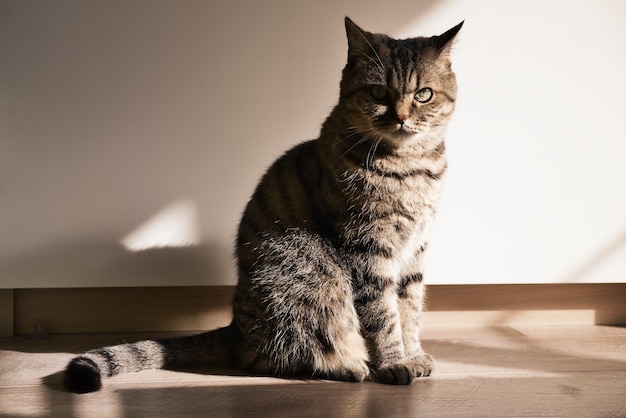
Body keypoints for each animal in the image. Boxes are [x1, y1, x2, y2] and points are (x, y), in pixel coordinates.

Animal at [66, 17, 460, 396]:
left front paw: (413, 355)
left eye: (424, 94)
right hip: (312, 284)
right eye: (378, 92)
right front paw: (394, 363)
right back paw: (345, 366)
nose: (402, 117)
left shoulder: (415, 251)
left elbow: (410, 308)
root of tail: (234, 329)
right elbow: (384, 316)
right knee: (273, 357)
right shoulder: (368, 249)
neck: (411, 167)